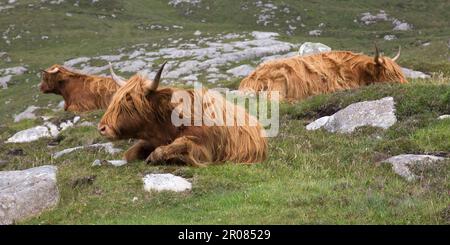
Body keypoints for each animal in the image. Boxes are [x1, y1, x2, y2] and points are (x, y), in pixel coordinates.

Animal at [97, 62, 268, 167]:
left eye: (130, 104)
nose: (102, 128)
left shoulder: (204, 148)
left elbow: (179, 144)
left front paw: (168, 158)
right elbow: (129, 153)